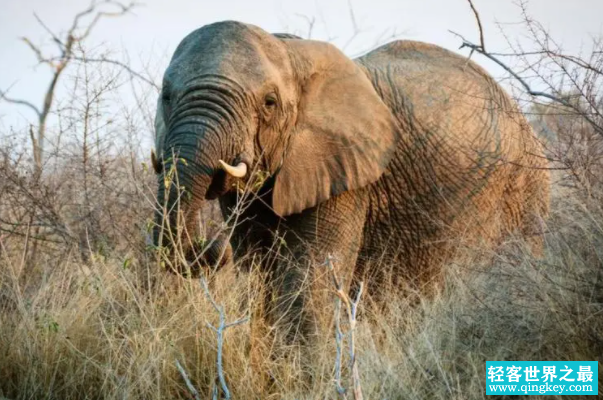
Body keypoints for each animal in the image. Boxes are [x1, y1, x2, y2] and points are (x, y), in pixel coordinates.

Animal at [152, 20, 552, 340]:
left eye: (269, 103)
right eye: (166, 96)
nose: (211, 247)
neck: (291, 53)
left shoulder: (348, 172)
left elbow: (308, 278)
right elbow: (258, 274)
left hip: (523, 192)